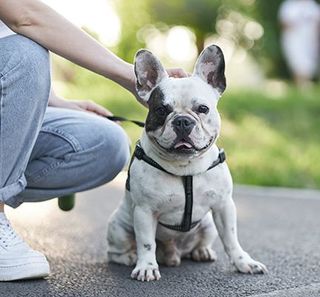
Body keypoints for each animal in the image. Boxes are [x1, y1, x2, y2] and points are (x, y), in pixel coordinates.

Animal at [106, 44, 266, 280]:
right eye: (162, 110)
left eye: (203, 109)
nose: (182, 121)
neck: (185, 166)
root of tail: (173, 253)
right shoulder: (144, 212)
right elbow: (146, 243)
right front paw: (146, 267)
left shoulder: (224, 206)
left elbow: (231, 239)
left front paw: (243, 262)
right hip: (118, 227)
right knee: (116, 251)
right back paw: (129, 257)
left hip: (208, 225)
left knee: (201, 242)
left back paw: (201, 251)